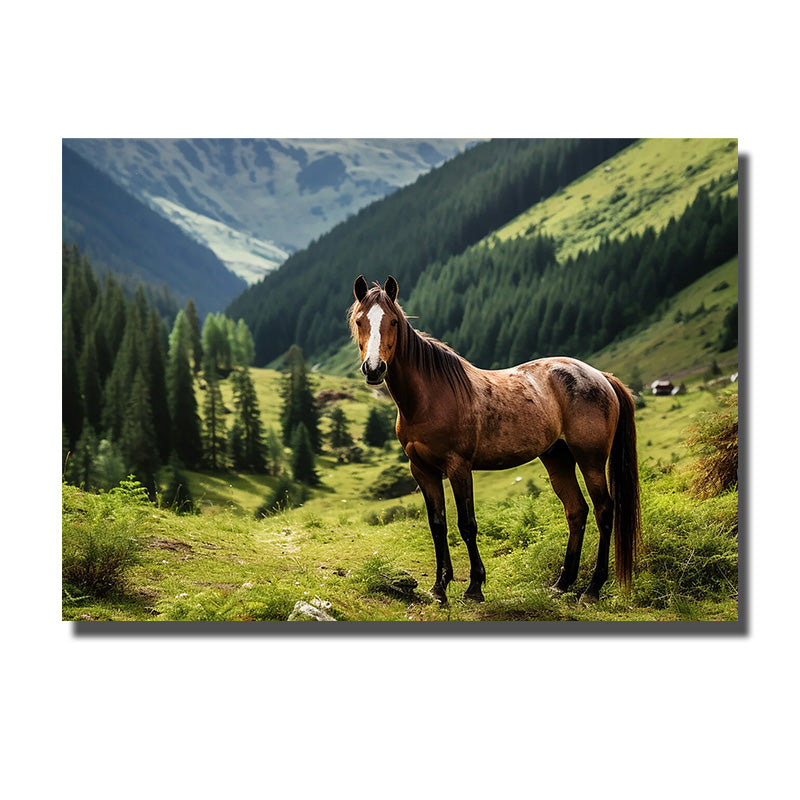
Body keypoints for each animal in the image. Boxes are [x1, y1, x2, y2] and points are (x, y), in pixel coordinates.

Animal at [349, 275, 642, 604]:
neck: (429, 397)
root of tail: (602, 376)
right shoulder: (422, 470)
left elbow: (466, 525)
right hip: (558, 458)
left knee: (605, 511)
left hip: (590, 460)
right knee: (576, 511)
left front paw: (474, 587)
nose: (374, 369)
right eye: (360, 320)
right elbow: (437, 525)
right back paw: (562, 583)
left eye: (394, 322)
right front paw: (439, 587)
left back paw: (592, 589)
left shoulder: (459, 468)